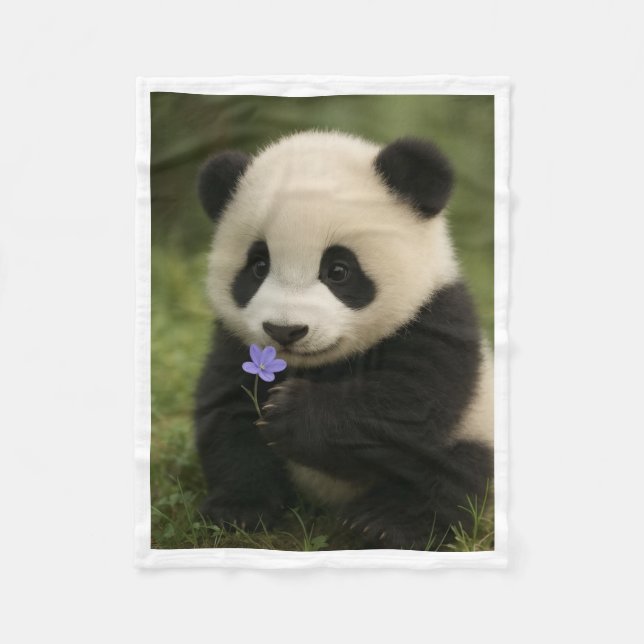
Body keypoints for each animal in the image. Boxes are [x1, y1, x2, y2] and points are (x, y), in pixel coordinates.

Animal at [194, 131, 493, 549]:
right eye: (258, 266)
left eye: (338, 270)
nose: (285, 330)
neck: (319, 364)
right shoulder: (235, 343)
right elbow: (229, 416)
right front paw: (237, 510)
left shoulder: (437, 318)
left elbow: (408, 405)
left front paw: (289, 410)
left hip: (477, 425)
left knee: (450, 475)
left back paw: (385, 523)